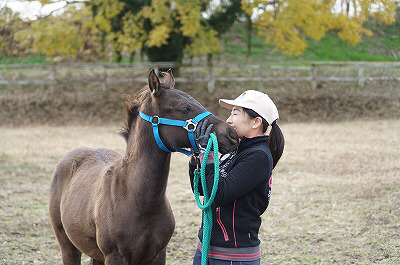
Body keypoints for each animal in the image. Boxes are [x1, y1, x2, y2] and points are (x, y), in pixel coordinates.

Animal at [48, 69, 239, 262]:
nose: (232, 134)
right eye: (184, 109)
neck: (141, 201)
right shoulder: (114, 255)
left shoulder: (159, 254)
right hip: (68, 246)